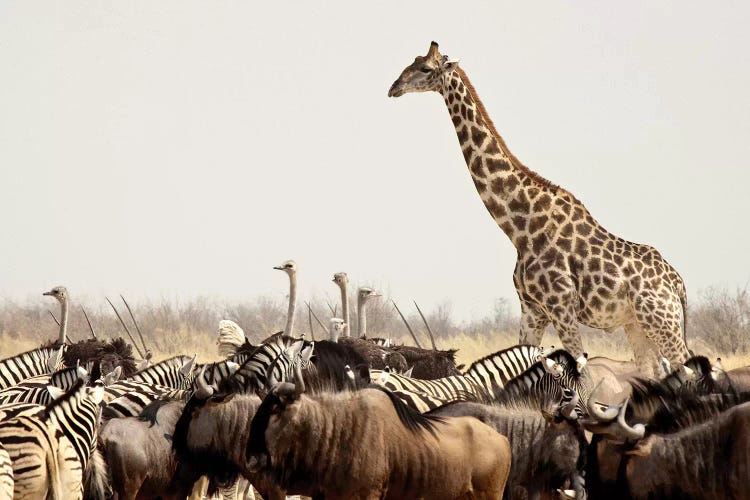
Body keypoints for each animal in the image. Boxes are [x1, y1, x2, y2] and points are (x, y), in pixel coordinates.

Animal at [390, 43, 692, 376]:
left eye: (426, 68)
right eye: (413, 61)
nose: (394, 87)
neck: (520, 228)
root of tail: (678, 283)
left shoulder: (562, 307)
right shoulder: (531, 309)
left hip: (663, 322)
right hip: (637, 325)